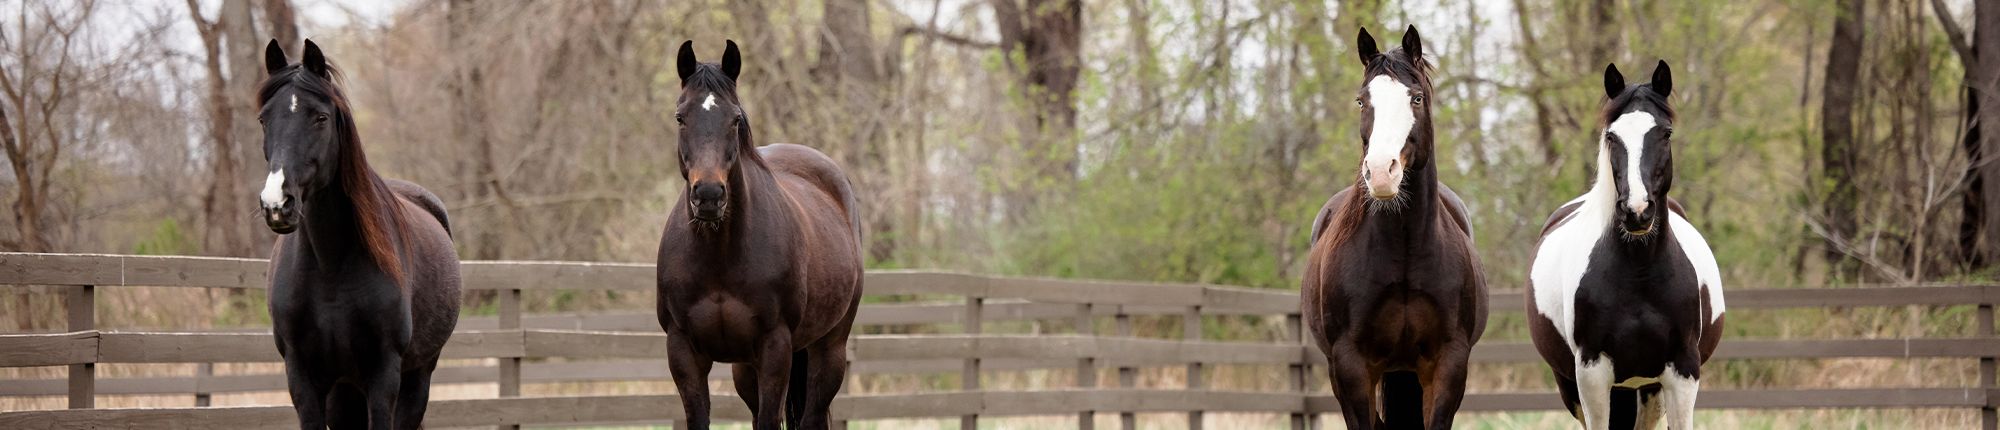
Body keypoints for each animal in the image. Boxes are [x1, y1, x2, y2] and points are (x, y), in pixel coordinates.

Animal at [256, 39, 458, 430]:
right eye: (263, 119)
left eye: (320, 117)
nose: (277, 204)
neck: (330, 266)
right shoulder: (302, 376)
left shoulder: (383, 374)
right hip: (343, 390)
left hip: (417, 377)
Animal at [656, 40, 868, 430]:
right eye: (680, 116)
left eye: (736, 118)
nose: (709, 195)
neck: (719, 257)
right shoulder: (683, 351)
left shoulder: (775, 347)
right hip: (745, 368)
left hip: (829, 348)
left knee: (814, 415)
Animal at [1296, 26, 1488, 430]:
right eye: (1361, 101)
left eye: (1416, 98)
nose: (1381, 172)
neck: (1404, 250)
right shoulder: (1351, 365)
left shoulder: (1449, 363)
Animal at [1520, 60, 1728, 430]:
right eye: (1611, 137)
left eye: (1665, 133)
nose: (1637, 211)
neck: (1639, 273)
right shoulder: (1591, 374)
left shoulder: (1682, 372)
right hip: (1573, 384)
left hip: (1648, 389)